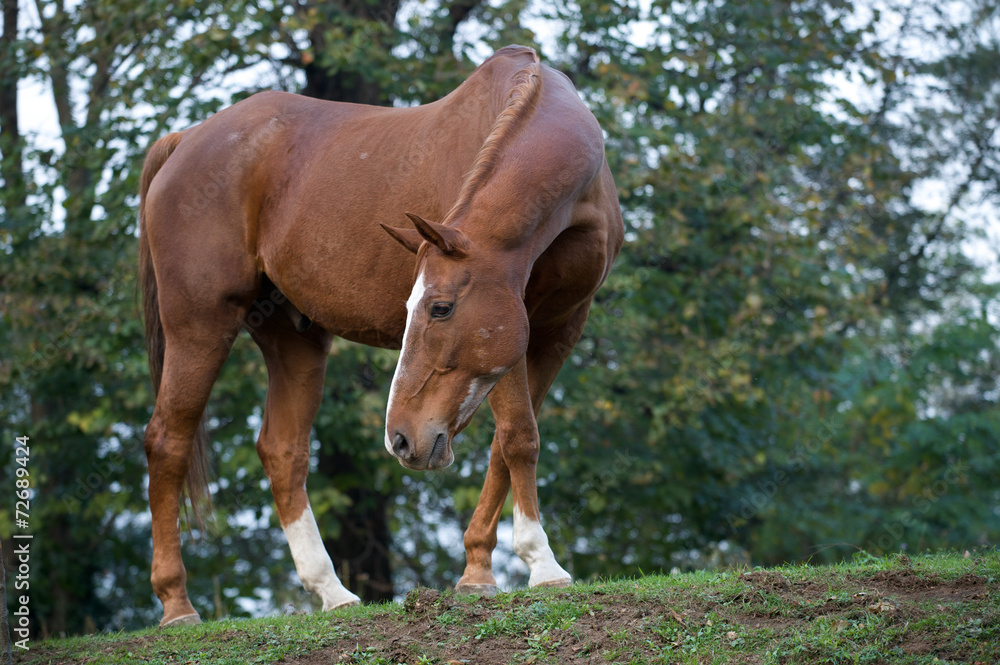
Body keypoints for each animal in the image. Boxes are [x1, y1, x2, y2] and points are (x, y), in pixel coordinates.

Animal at [138, 44, 623, 627]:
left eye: (439, 308)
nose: (401, 440)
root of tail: (184, 141)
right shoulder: (518, 328)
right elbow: (518, 438)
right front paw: (542, 564)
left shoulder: (557, 330)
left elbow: (505, 447)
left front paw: (478, 572)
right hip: (199, 325)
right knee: (167, 441)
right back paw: (176, 604)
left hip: (293, 337)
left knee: (282, 451)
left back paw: (332, 592)